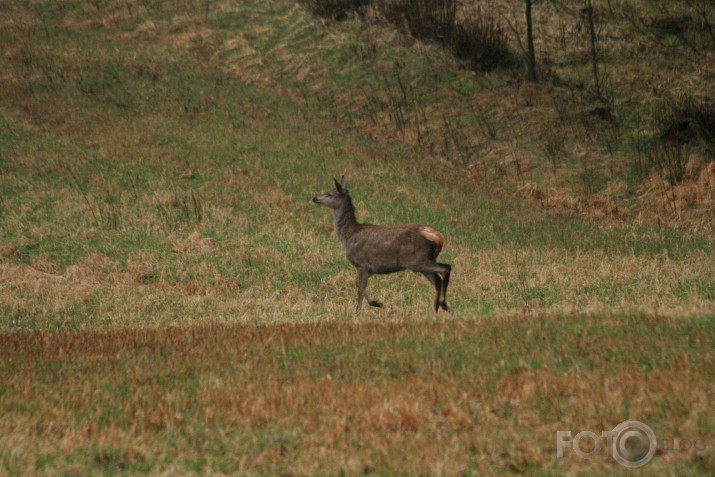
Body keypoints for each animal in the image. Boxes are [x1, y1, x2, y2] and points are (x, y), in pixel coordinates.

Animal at [312, 176, 450, 312]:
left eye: (330, 194)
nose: (315, 198)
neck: (348, 235)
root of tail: (439, 237)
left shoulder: (362, 263)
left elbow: (360, 288)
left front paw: (358, 311)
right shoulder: (371, 268)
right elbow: (357, 283)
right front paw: (377, 303)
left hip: (416, 261)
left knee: (445, 268)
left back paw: (442, 303)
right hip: (424, 262)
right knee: (438, 280)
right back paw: (439, 307)